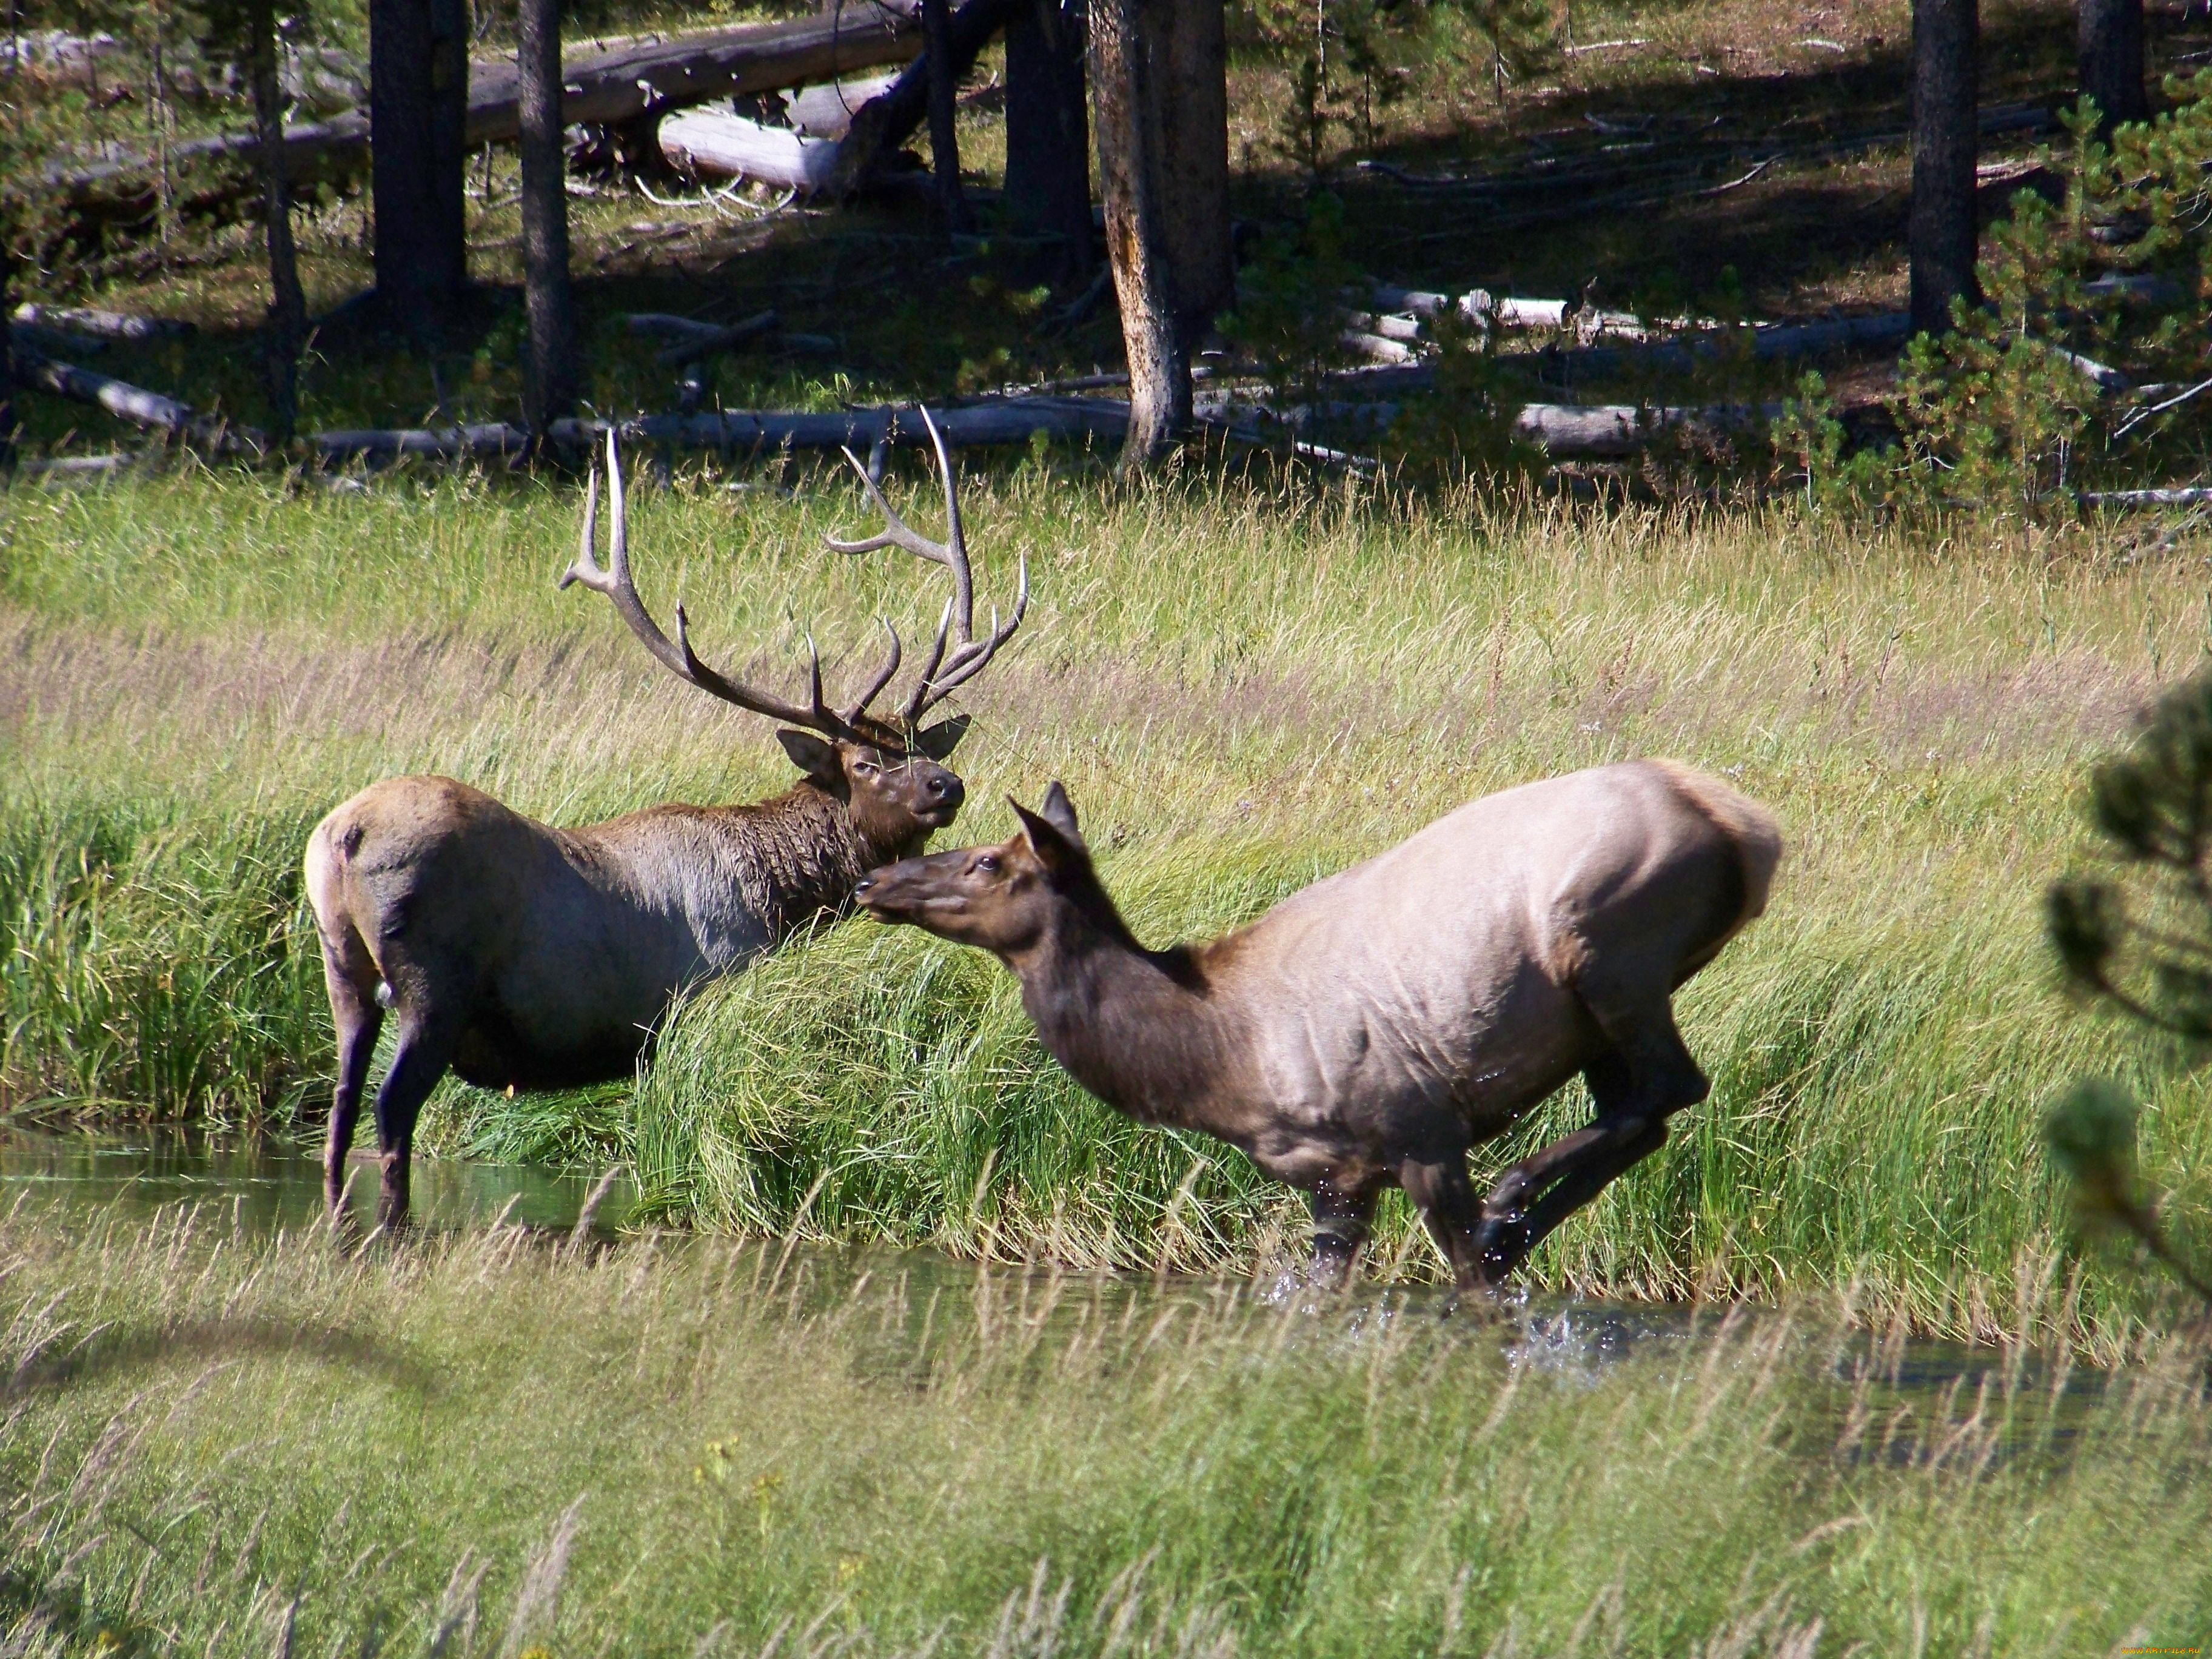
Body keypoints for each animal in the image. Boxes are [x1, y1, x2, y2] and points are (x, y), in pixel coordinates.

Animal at [307, 422, 1022, 1230]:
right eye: (867, 764)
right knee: (391, 1114)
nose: (948, 785)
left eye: (921, 746)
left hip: (342, 968)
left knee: (339, 1112)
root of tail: (341, 838)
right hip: (434, 983)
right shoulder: (692, 1001)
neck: (786, 901)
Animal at [849, 765, 1778, 1301]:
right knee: (1646, 1115)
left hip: (1612, 953)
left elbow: (1472, 1290)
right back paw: (1520, 1222)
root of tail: (1749, 829)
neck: (1219, 1060)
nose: (870, 882)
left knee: (1675, 1085)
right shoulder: (1336, 1180)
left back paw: (1511, 1204)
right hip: (1605, 1014)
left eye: (988, 862)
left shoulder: (1422, 1134)